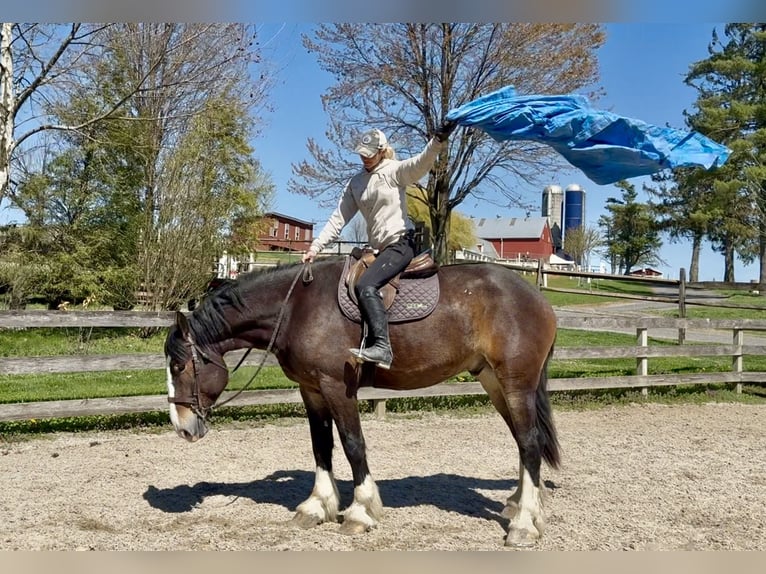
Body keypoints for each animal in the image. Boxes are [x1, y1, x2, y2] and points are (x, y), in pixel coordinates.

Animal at [163, 257, 561, 547]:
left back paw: (525, 523)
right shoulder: (311, 390)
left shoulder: (337, 387)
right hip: (494, 382)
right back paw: (519, 503)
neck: (296, 309)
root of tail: (538, 298)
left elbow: (353, 445)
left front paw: (360, 511)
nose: (182, 427)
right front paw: (317, 506)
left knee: (529, 443)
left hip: (516, 384)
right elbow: (321, 446)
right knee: (524, 441)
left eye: (179, 365)